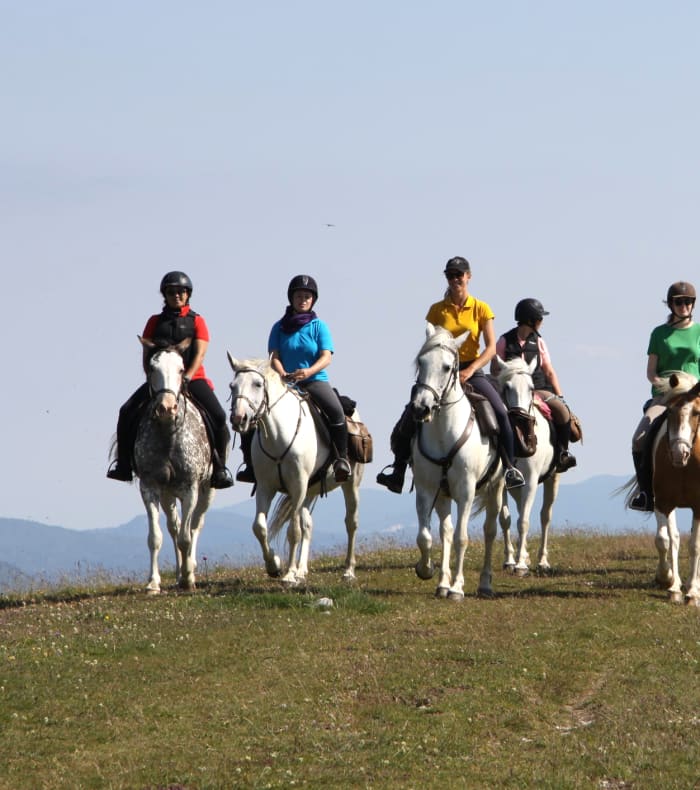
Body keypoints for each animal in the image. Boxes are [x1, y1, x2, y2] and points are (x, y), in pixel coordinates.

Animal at [132, 337, 215, 593]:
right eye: (152, 369)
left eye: (180, 369)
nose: (166, 408)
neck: (168, 433)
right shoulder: (149, 486)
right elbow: (155, 537)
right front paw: (153, 582)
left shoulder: (191, 488)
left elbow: (187, 537)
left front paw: (189, 578)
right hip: (168, 493)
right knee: (174, 527)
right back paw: (178, 573)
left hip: (207, 490)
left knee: (195, 525)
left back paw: (190, 570)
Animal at [227, 354, 364, 586]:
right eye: (232, 386)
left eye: (257, 384)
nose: (239, 419)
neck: (278, 437)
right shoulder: (266, 487)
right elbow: (259, 527)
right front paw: (274, 566)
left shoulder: (298, 486)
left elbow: (293, 531)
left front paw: (289, 575)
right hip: (309, 492)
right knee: (308, 524)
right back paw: (302, 570)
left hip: (349, 484)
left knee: (350, 523)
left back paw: (348, 571)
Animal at [411, 324, 504, 601]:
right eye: (421, 362)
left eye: (446, 367)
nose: (420, 408)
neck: (444, 432)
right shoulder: (427, 489)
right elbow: (426, 537)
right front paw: (426, 570)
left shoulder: (466, 491)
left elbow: (463, 538)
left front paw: (457, 588)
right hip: (443, 495)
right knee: (446, 533)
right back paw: (442, 583)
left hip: (497, 487)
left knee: (490, 530)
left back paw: (484, 584)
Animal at [492, 355, 559, 576]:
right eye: (506, 387)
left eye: (531, 388)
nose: (520, 423)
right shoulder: (501, 482)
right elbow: (505, 519)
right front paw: (510, 560)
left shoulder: (530, 481)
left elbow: (524, 521)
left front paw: (521, 565)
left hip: (553, 477)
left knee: (545, 515)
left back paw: (542, 561)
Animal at [630, 371, 700, 605]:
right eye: (669, 411)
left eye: (697, 412)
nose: (679, 453)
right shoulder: (663, 502)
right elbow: (666, 540)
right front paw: (669, 582)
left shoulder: (699, 507)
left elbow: (695, 546)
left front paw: (692, 592)